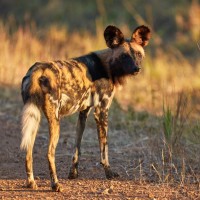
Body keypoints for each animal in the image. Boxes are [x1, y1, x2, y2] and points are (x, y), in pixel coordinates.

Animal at [21, 24, 151, 191]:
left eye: (138, 54)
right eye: (124, 56)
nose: (136, 68)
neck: (107, 66)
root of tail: (38, 71)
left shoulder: (83, 112)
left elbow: (77, 146)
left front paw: (73, 173)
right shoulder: (101, 111)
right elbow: (104, 148)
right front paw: (109, 173)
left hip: (34, 118)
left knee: (28, 150)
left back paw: (31, 182)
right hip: (55, 121)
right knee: (49, 153)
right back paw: (55, 184)